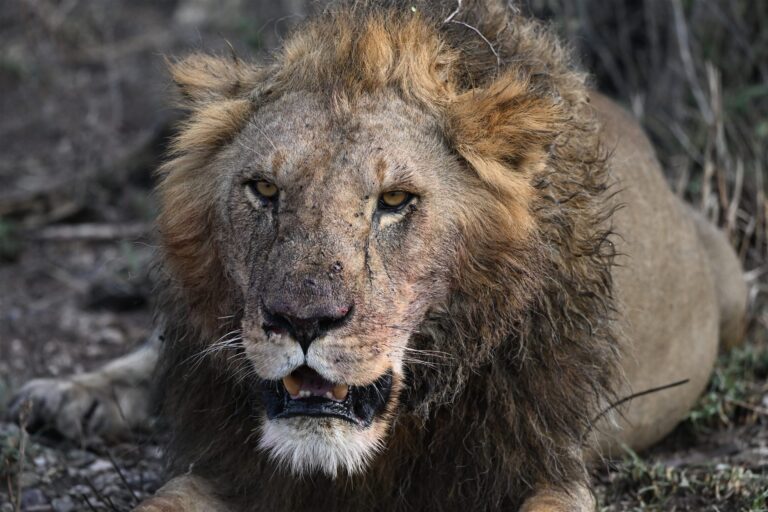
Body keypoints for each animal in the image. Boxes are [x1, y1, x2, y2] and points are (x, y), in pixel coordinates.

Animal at [9, 1, 747, 510]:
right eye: (264, 190)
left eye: (394, 201)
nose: (303, 322)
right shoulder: (231, 468)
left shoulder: (544, 466)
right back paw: (70, 397)